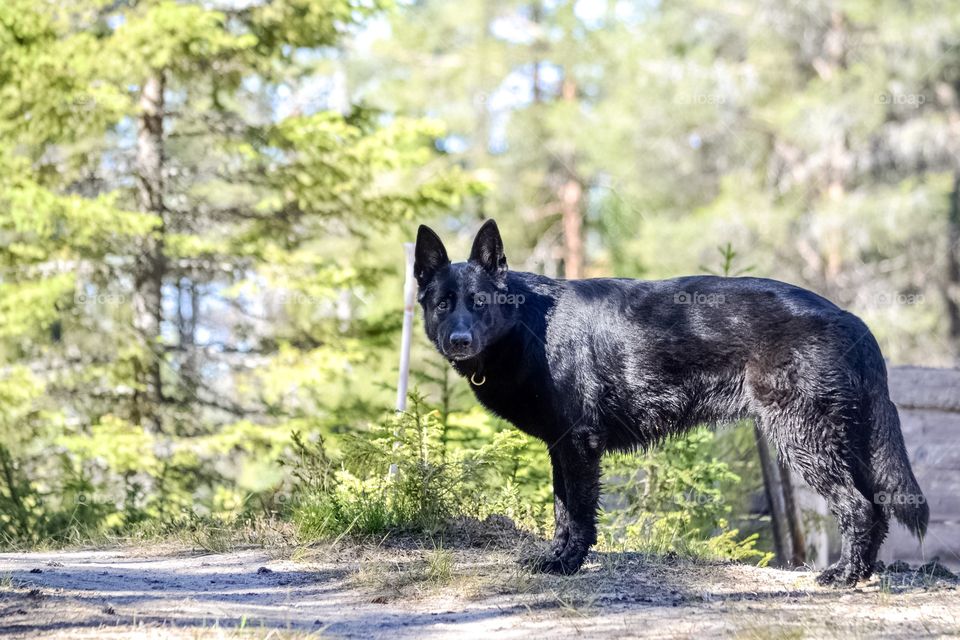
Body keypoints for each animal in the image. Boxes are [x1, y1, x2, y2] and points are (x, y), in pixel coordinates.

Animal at [416, 219, 928, 584]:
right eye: (443, 304)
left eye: (479, 302)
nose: (459, 342)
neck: (528, 324)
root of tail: (848, 317)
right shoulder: (561, 447)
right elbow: (562, 511)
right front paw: (558, 557)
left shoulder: (578, 446)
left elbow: (576, 512)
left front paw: (566, 565)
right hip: (839, 443)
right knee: (876, 508)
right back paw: (862, 573)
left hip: (804, 441)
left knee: (858, 507)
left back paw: (843, 576)